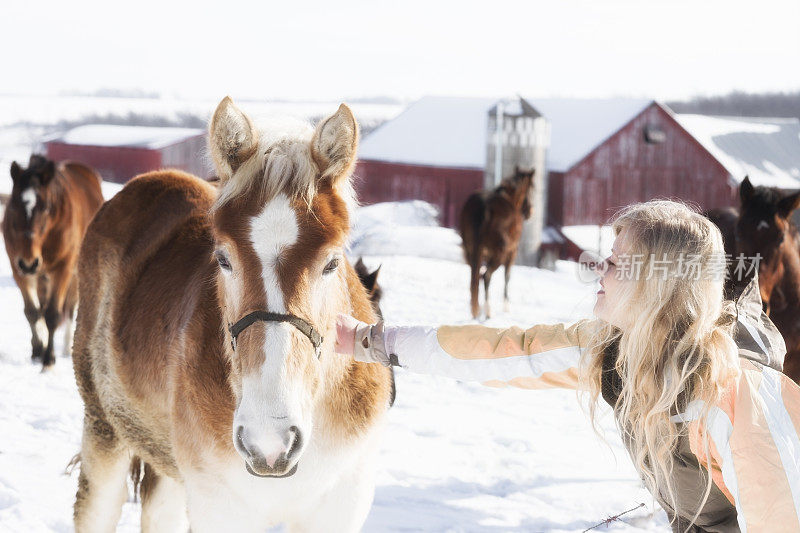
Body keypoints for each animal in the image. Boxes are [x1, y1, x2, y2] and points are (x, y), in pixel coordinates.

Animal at [1, 155, 103, 370]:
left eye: (46, 208)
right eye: (13, 206)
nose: (29, 263)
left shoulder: (63, 269)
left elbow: (53, 314)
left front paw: (49, 359)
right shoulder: (18, 268)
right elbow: (32, 312)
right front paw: (38, 349)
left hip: (75, 273)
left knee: (71, 308)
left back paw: (66, 348)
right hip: (41, 276)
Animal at [73, 97, 392, 528]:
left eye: (331, 262)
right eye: (223, 258)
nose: (270, 439)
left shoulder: (341, 506)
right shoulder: (220, 506)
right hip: (104, 430)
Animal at [460, 167, 536, 316]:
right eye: (531, 188)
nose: (530, 211)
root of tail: (484, 206)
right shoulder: (512, 252)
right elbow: (507, 276)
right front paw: (506, 307)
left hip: (470, 251)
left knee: (475, 278)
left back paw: (476, 310)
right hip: (500, 253)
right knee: (486, 276)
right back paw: (487, 311)